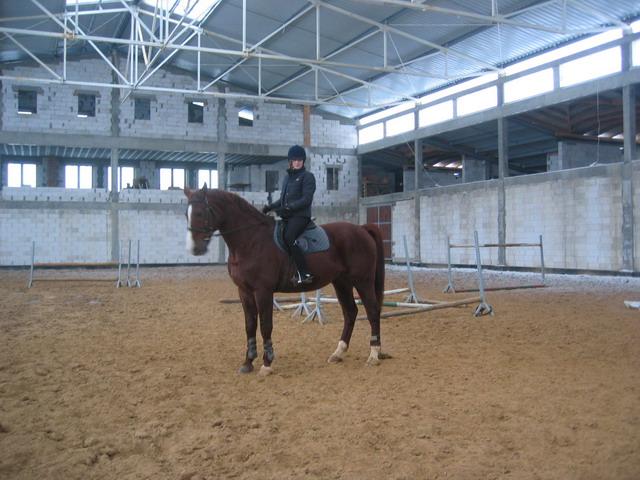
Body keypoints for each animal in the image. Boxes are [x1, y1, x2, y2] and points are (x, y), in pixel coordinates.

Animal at [182, 186, 388, 376]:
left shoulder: (263, 291)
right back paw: (338, 353)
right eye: (187, 214)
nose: (195, 249)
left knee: (372, 310)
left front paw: (267, 363)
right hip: (342, 283)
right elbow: (250, 325)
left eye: (200, 213)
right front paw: (248, 362)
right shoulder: (244, 291)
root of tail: (361, 229)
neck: (251, 240)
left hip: (362, 280)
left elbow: (265, 325)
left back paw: (373, 354)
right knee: (351, 312)